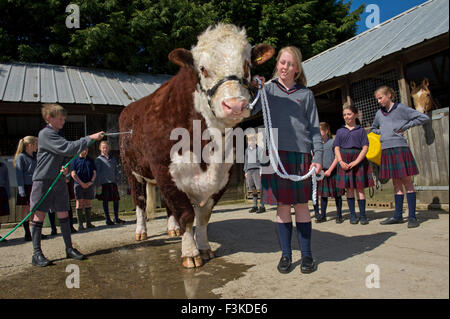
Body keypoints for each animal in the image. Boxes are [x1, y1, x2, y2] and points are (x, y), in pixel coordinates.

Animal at [119, 24, 274, 268]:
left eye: (247, 65)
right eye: (203, 68)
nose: (235, 105)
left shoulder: (222, 175)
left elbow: (202, 216)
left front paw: (203, 248)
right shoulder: (165, 171)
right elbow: (185, 214)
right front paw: (190, 254)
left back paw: (173, 230)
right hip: (132, 171)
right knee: (140, 201)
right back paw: (141, 231)